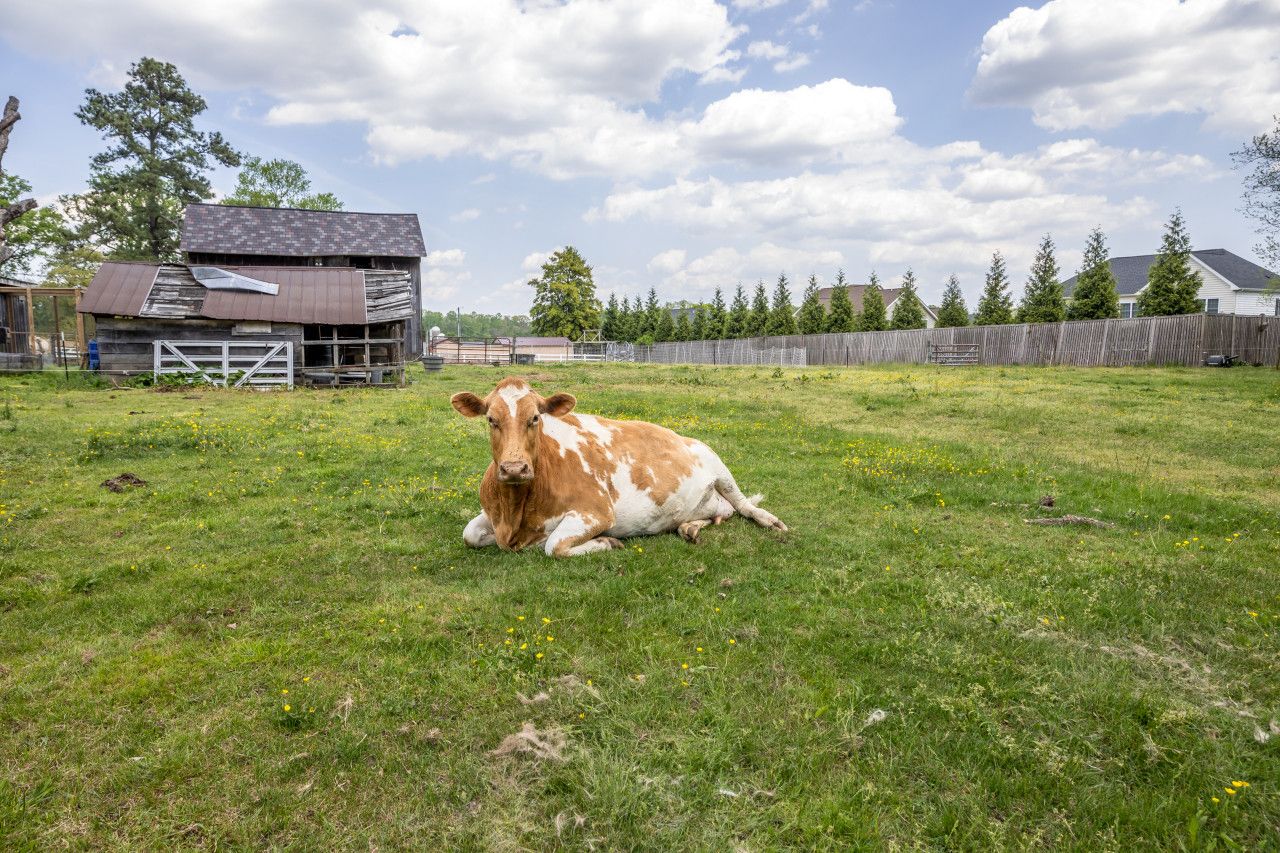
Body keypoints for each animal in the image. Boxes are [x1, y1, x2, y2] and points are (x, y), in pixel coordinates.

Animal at [450, 377, 786, 557]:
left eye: (535, 417)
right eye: (491, 419)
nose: (514, 468)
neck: (515, 512)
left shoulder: (596, 512)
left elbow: (554, 545)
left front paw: (607, 542)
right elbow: (469, 534)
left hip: (716, 462)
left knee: (743, 505)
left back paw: (769, 520)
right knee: (720, 513)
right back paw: (689, 527)